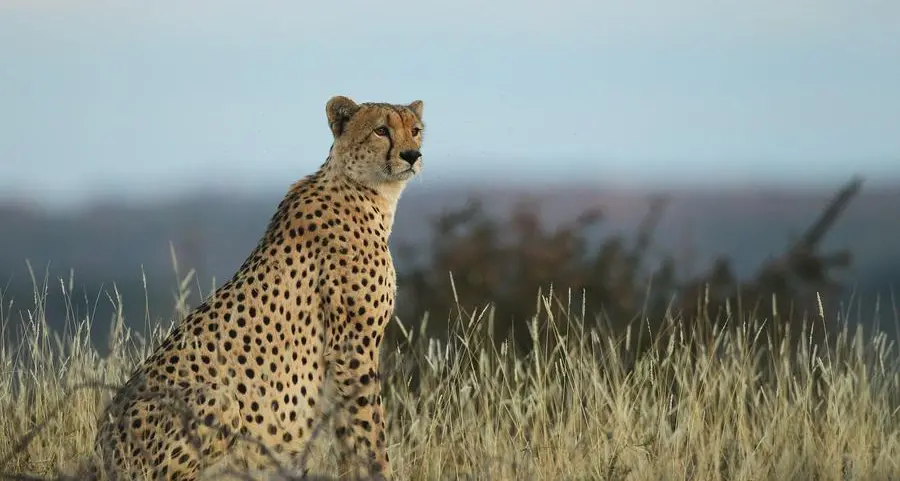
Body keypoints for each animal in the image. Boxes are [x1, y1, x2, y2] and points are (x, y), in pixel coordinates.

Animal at [95, 94, 426, 480]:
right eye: (381, 130)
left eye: (415, 130)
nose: (412, 155)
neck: (366, 190)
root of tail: (101, 446)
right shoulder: (352, 347)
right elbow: (370, 428)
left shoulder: (343, 357)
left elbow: (350, 433)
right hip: (217, 399)